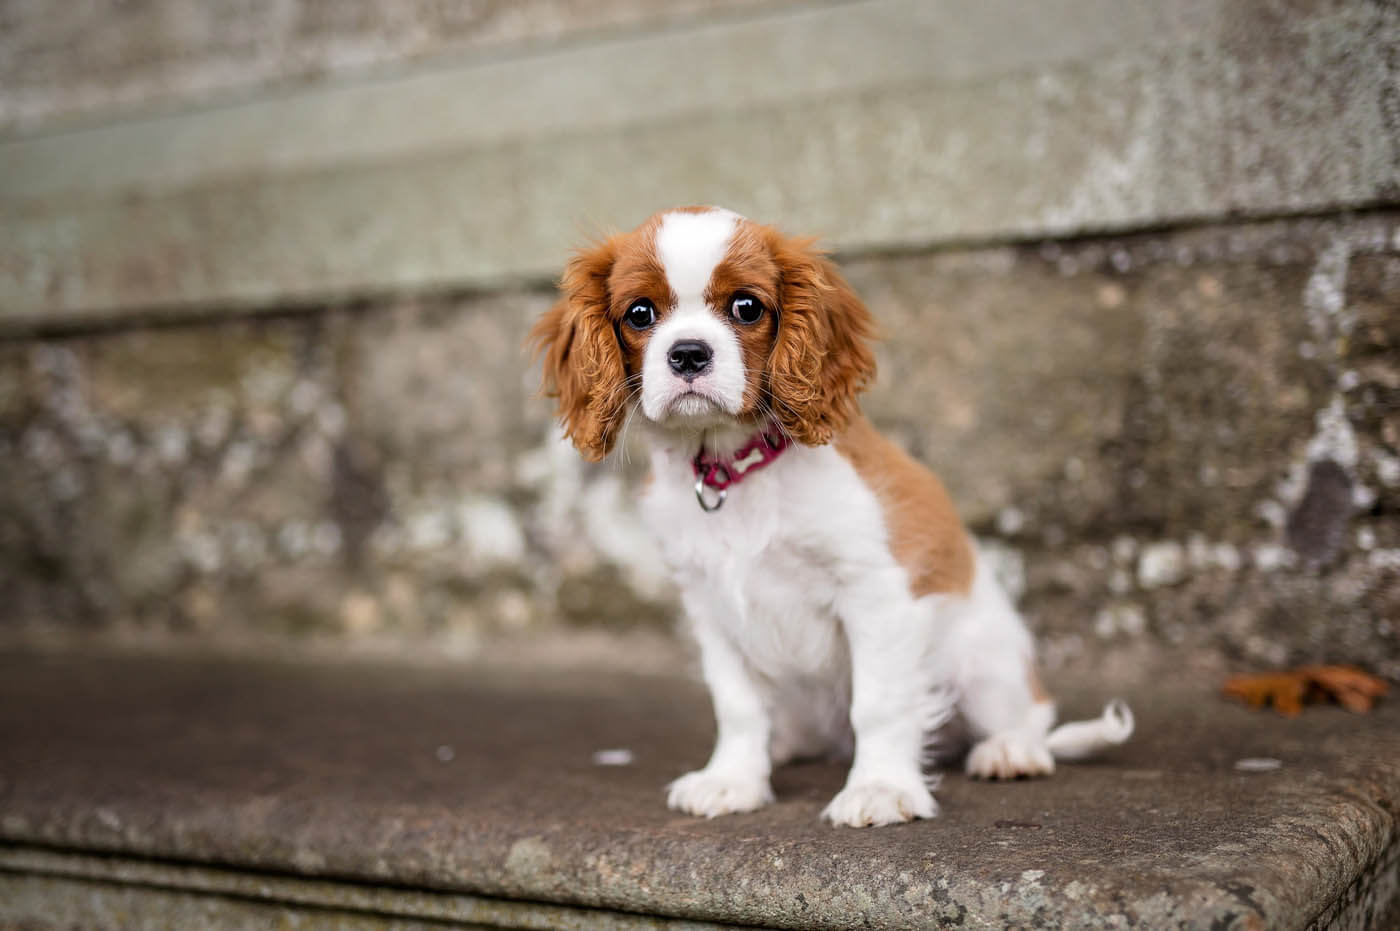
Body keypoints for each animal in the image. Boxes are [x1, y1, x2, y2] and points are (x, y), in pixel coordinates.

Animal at [529, 207, 1131, 823]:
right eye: (640, 314)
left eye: (746, 307)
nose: (689, 353)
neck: (737, 469)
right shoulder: (710, 607)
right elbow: (738, 705)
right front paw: (732, 780)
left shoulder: (875, 591)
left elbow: (880, 703)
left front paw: (880, 787)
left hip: (983, 659)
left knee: (1029, 713)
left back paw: (1011, 749)